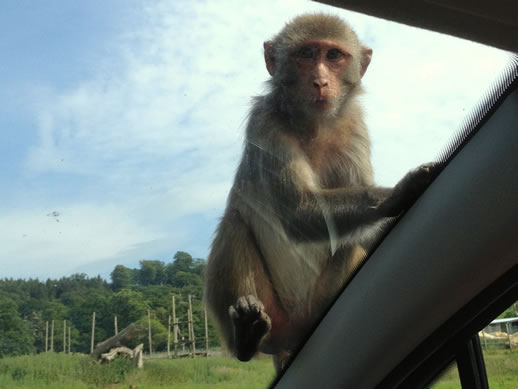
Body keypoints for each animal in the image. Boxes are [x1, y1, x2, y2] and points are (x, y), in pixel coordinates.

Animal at [205, 12, 440, 370]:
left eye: (333, 56)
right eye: (305, 54)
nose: (320, 81)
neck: (314, 126)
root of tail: (293, 334)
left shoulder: (354, 126)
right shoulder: (265, 122)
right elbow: (298, 212)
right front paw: (396, 192)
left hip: (318, 302)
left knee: (351, 240)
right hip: (274, 312)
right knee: (234, 222)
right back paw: (246, 336)